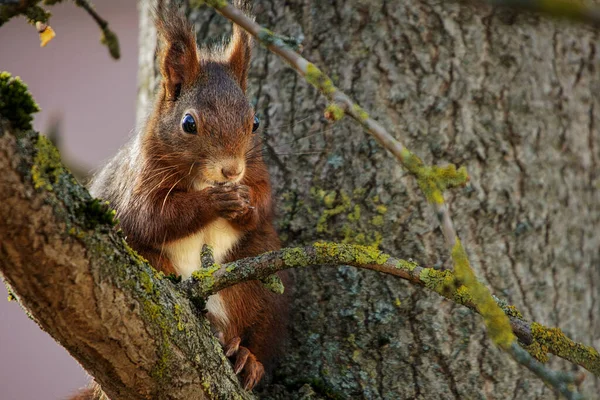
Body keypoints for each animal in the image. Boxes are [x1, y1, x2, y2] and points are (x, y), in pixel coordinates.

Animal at [74, 1, 288, 396]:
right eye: (189, 124)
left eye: (255, 123)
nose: (231, 170)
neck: (205, 181)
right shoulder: (138, 184)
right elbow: (152, 217)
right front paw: (216, 203)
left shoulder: (258, 171)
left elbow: (265, 202)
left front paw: (245, 204)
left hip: (261, 280)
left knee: (257, 330)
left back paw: (245, 356)